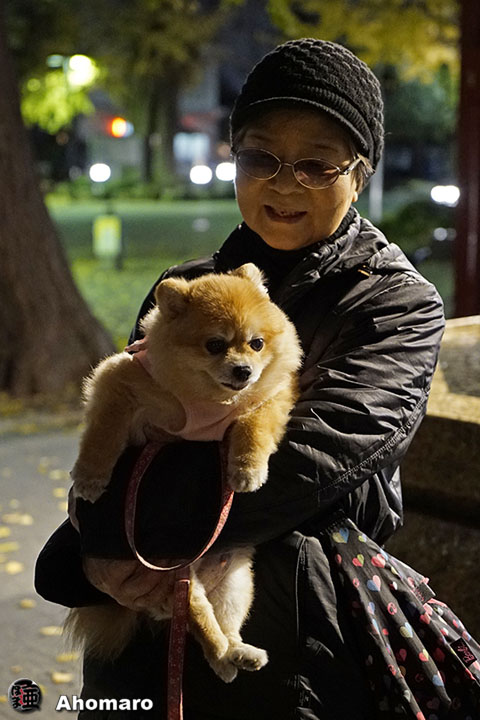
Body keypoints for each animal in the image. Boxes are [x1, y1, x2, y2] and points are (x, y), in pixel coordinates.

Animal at [67, 263, 302, 682]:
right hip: (173, 576)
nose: (243, 370)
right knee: (198, 618)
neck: (209, 399)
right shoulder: (119, 384)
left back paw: (237, 654)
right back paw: (224, 656)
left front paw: (247, 469)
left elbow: (254, 427)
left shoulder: (267, 397)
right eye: (215, 345)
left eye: (257, 344)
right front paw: (90, 478)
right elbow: (103, 434)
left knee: (220, 622)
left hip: (234, 581)